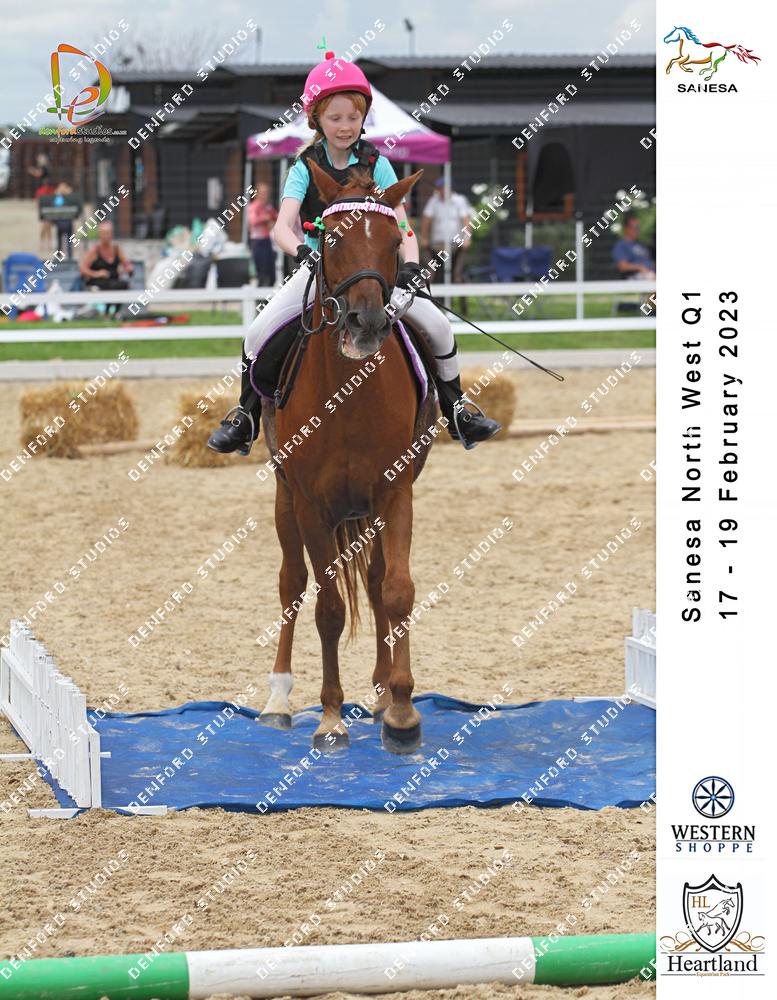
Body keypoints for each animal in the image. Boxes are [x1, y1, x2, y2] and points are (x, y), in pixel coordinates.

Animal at [258, 160, 438, 755]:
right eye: (330, 239)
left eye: (394, 241)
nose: (366, 323)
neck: (348, 393)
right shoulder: (311, 504)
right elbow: (328, 608)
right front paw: (331, 718)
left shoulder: (395, 490)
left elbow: (397, 591)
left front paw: (402, 712)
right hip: (284, 499)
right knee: (292, 584)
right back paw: (278, 699)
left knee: (378, 581)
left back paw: (382, 694)